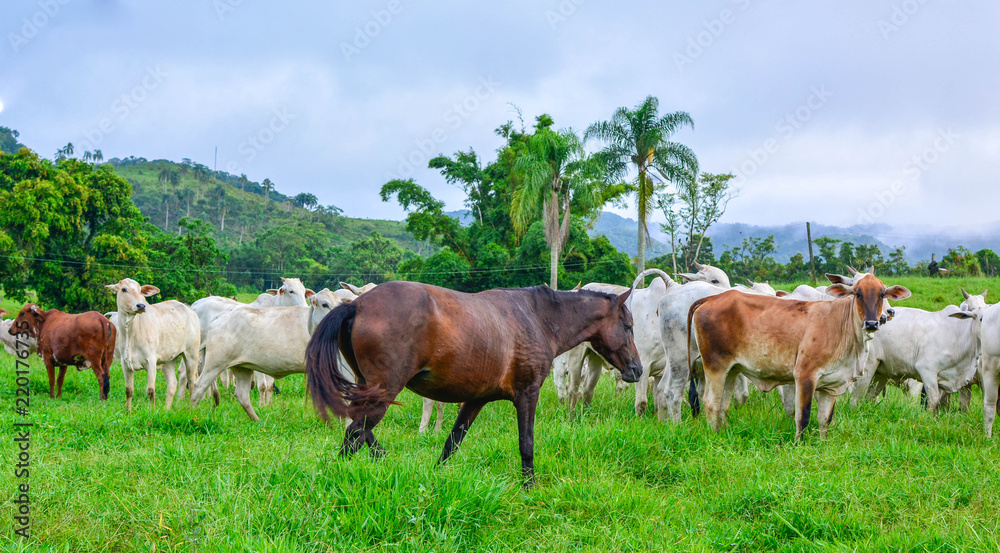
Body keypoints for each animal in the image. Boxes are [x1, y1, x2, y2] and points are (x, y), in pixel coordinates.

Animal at [106, 278, 200, 408]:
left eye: (140, 290)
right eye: (124, 289)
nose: (141, 305)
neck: (131, 334)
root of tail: (189, 309)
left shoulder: (151, 361)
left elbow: (150, 391)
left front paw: (152, 410)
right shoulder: (125, 363)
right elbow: (129, 390)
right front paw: (128, 410)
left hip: (192, 354)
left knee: (191, 382)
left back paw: (191, 408)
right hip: (169, 360)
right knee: (172, 384)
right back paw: (166, 409)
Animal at [192, 286, 348, 420]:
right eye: (325, 304)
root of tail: (219, 318)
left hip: (242, 367)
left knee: (242, 395)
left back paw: (257, 420)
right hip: (214, 364)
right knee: (198, 387)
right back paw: (190, 414)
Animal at [304, 280, 640, 484]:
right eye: (627, 326)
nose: (636, 370)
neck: (537, 317)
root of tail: (356, 305)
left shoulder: (476, 399)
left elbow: (452, 442)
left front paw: (436, 477)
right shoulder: (527, 394)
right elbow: (527, 444)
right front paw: (529, 487)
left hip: (371, 389)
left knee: (360, 429)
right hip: (383, 392)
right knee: (354, 434)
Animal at [692, 272, 912, 440]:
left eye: (882, 293)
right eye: (857, 293)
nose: (873, 323)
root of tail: (712, 299)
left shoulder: (831, 385)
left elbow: (825, 419)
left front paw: (823, 443)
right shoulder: (805, 376)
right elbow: (803, 416)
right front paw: (799, 444)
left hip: (731, 370)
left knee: (723, 404)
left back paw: (723, 432)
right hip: (715, 366)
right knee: (711, 402)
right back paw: (713, 436)